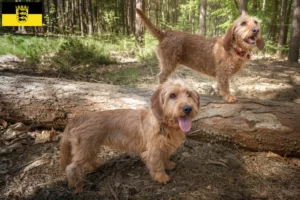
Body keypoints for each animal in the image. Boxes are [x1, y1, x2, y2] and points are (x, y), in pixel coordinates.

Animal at [59, 79, 199, 192]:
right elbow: (157, 164)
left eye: (189, 94)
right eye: (172, 95)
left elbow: (164, 157)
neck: (165, 124)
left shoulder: (164, 147)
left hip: (91, 147)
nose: (188, 108)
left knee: (88, 160)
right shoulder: (152, 151)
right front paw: (161, 177)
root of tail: (82, 117)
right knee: (71, 168)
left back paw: (94, 166)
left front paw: (168, 164)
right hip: (85, 148)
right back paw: (76, 184)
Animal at [136, 8, 264, 102]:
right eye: (243, 23)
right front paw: (228, 97)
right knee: (161, 77)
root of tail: (165, 33)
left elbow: (220, 86)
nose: (256, 30)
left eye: (256, 22)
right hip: (169, 63)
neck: (234, 48)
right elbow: (225, 86)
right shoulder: (222, 73)